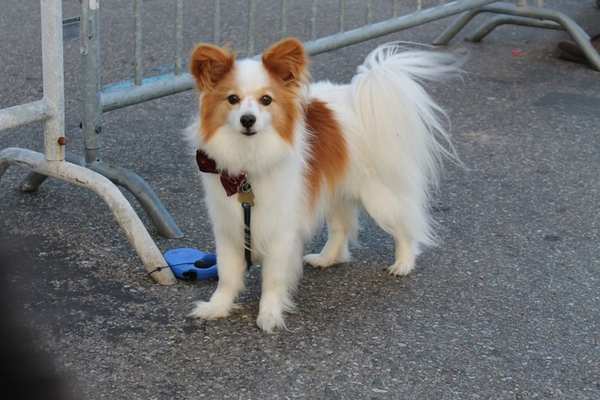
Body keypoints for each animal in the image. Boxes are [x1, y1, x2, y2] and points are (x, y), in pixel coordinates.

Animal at [185, 36, 462, 332]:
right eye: (232, 99)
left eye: (266, 100)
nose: (248, 119)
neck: (249, 159)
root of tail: (358, 95)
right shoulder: (229, 227)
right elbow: (227, 275)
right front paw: (217, 307)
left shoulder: (280, 230)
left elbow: (272, 278)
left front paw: (269, 315)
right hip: (335, 191)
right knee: (341, 228)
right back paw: (326, 258)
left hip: (378, 197)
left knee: (403, 227)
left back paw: (403, 263)